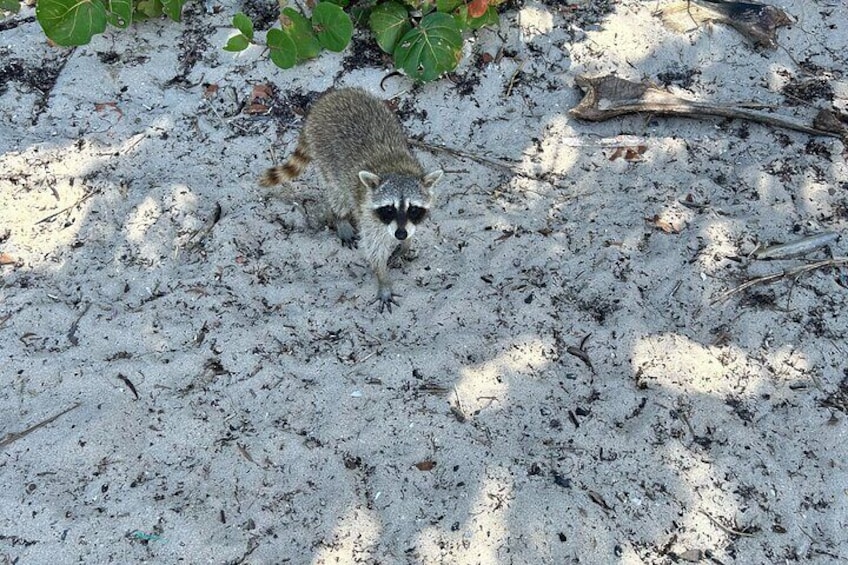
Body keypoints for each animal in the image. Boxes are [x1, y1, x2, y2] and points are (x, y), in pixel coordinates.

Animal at [260, 86, 444, 310]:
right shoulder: (368, 212)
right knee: (337, 191)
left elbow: (411, 230)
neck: (397, 170)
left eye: (413, 209)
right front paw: (383, 279)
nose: (400, 234)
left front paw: (406, 244)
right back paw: (340, 218)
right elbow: (374, 248)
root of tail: (329, 98)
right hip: (325, 157)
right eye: (389, 208)